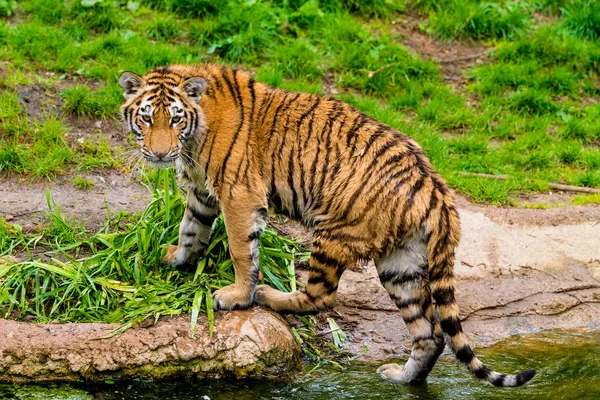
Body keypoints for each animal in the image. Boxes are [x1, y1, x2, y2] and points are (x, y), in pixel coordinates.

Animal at [117, 64, 536, 386]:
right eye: (146, 117)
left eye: (175, 118)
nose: (159, 153)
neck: (193, 136)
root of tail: (436, 187)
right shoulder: (203, 193)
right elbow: (190, 229)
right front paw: (173, 258)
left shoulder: (239, 195)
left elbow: (239, 249)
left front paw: (236, 296)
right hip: (402, 264)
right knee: (429, 333)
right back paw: (401, 378)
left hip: (333, 233)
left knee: (321, 296)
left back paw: (269, 295)